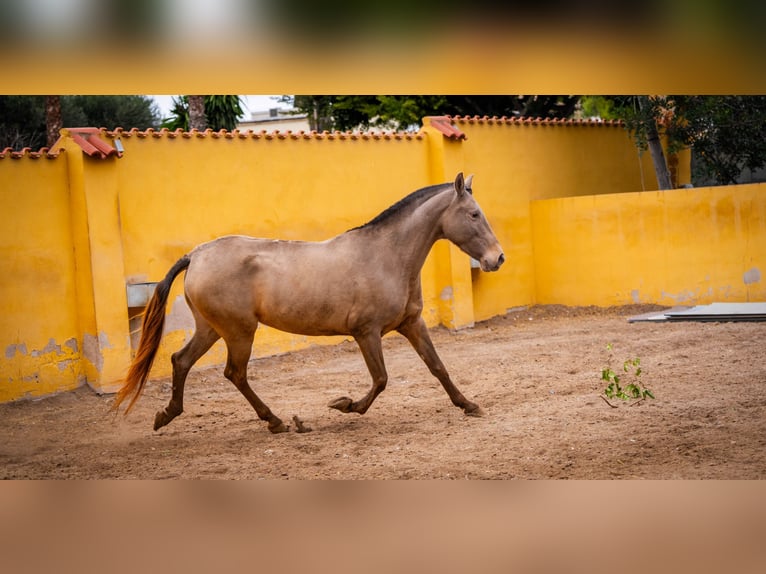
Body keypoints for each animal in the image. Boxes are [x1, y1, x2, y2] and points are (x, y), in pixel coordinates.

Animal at [113, 172, 504, 433]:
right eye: (473, 214)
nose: (497, 258)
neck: (387, 256)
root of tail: (196, 255)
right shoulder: (366, 332)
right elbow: (380, 379)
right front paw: (345, 405)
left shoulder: (412, 324)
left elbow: (438, 367)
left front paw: (469, 405)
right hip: (239, 332)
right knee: (234, 373)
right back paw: (277, 421)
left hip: (212, 329)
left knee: (181, 361)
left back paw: (167, 415)